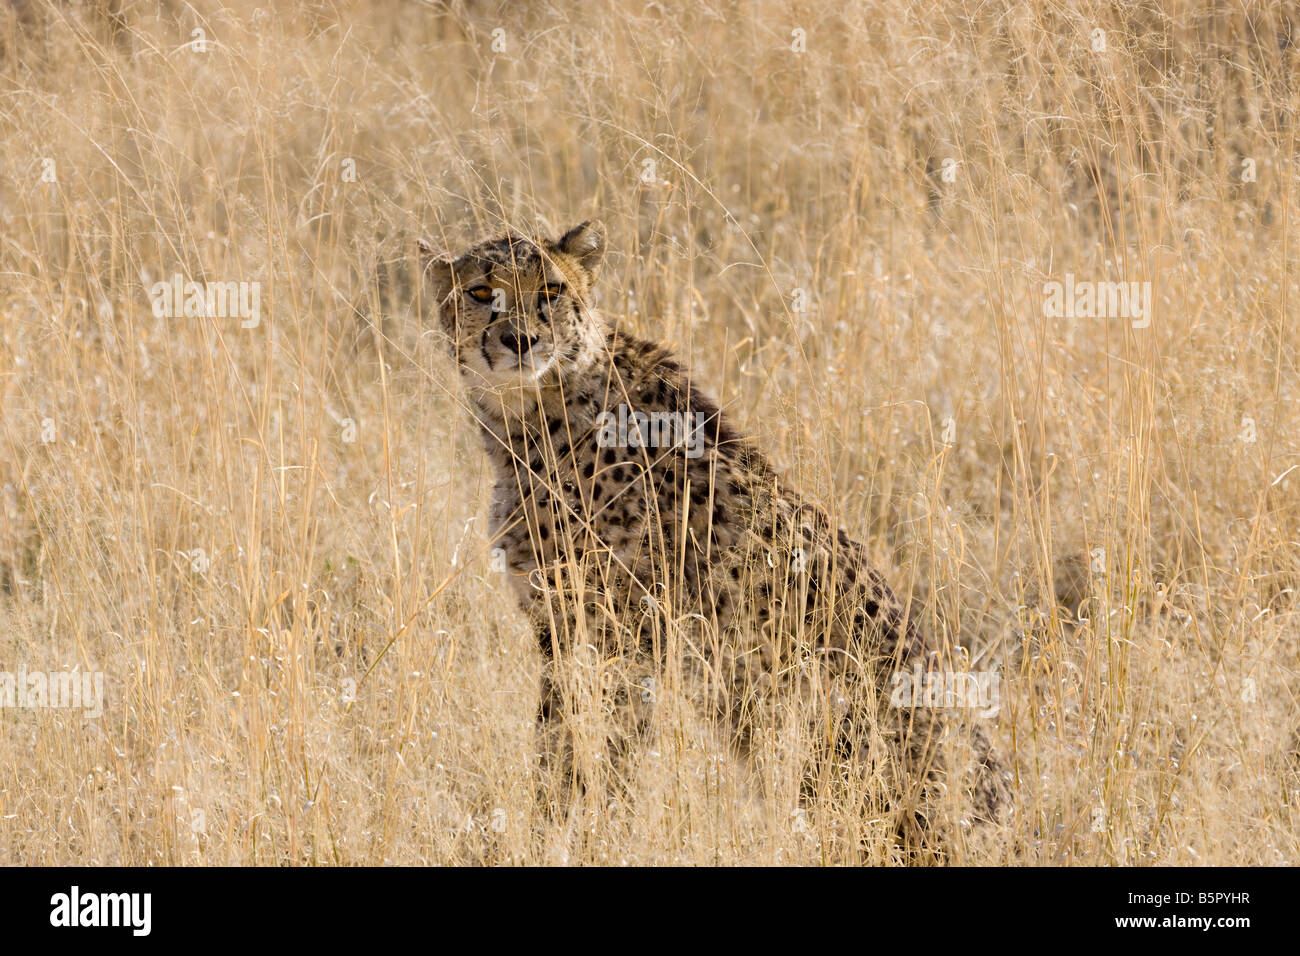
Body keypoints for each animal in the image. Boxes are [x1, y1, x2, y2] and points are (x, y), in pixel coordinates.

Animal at [420, 219, 1011, 853]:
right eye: (482, 293)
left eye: (550, 291)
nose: (521, 340)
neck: (531, 410)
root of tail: (1007, 812)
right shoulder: (559, 622)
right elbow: (557, 740)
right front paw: (547, 822)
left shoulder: (634, 633)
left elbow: (611, 748)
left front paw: (600, 831)